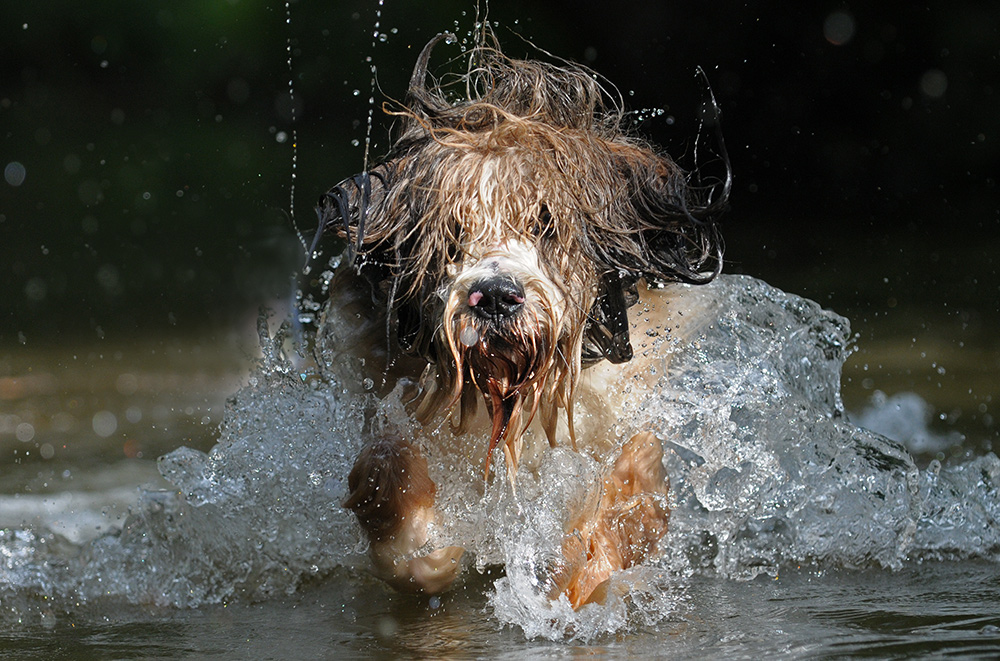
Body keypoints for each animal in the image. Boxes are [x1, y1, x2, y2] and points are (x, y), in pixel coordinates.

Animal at [308, 32, 724, 608]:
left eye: (547, 224)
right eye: (451, 234)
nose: (496, 298)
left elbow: (634, 484)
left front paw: (586, 554)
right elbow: (386, 471)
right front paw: (425, 543)